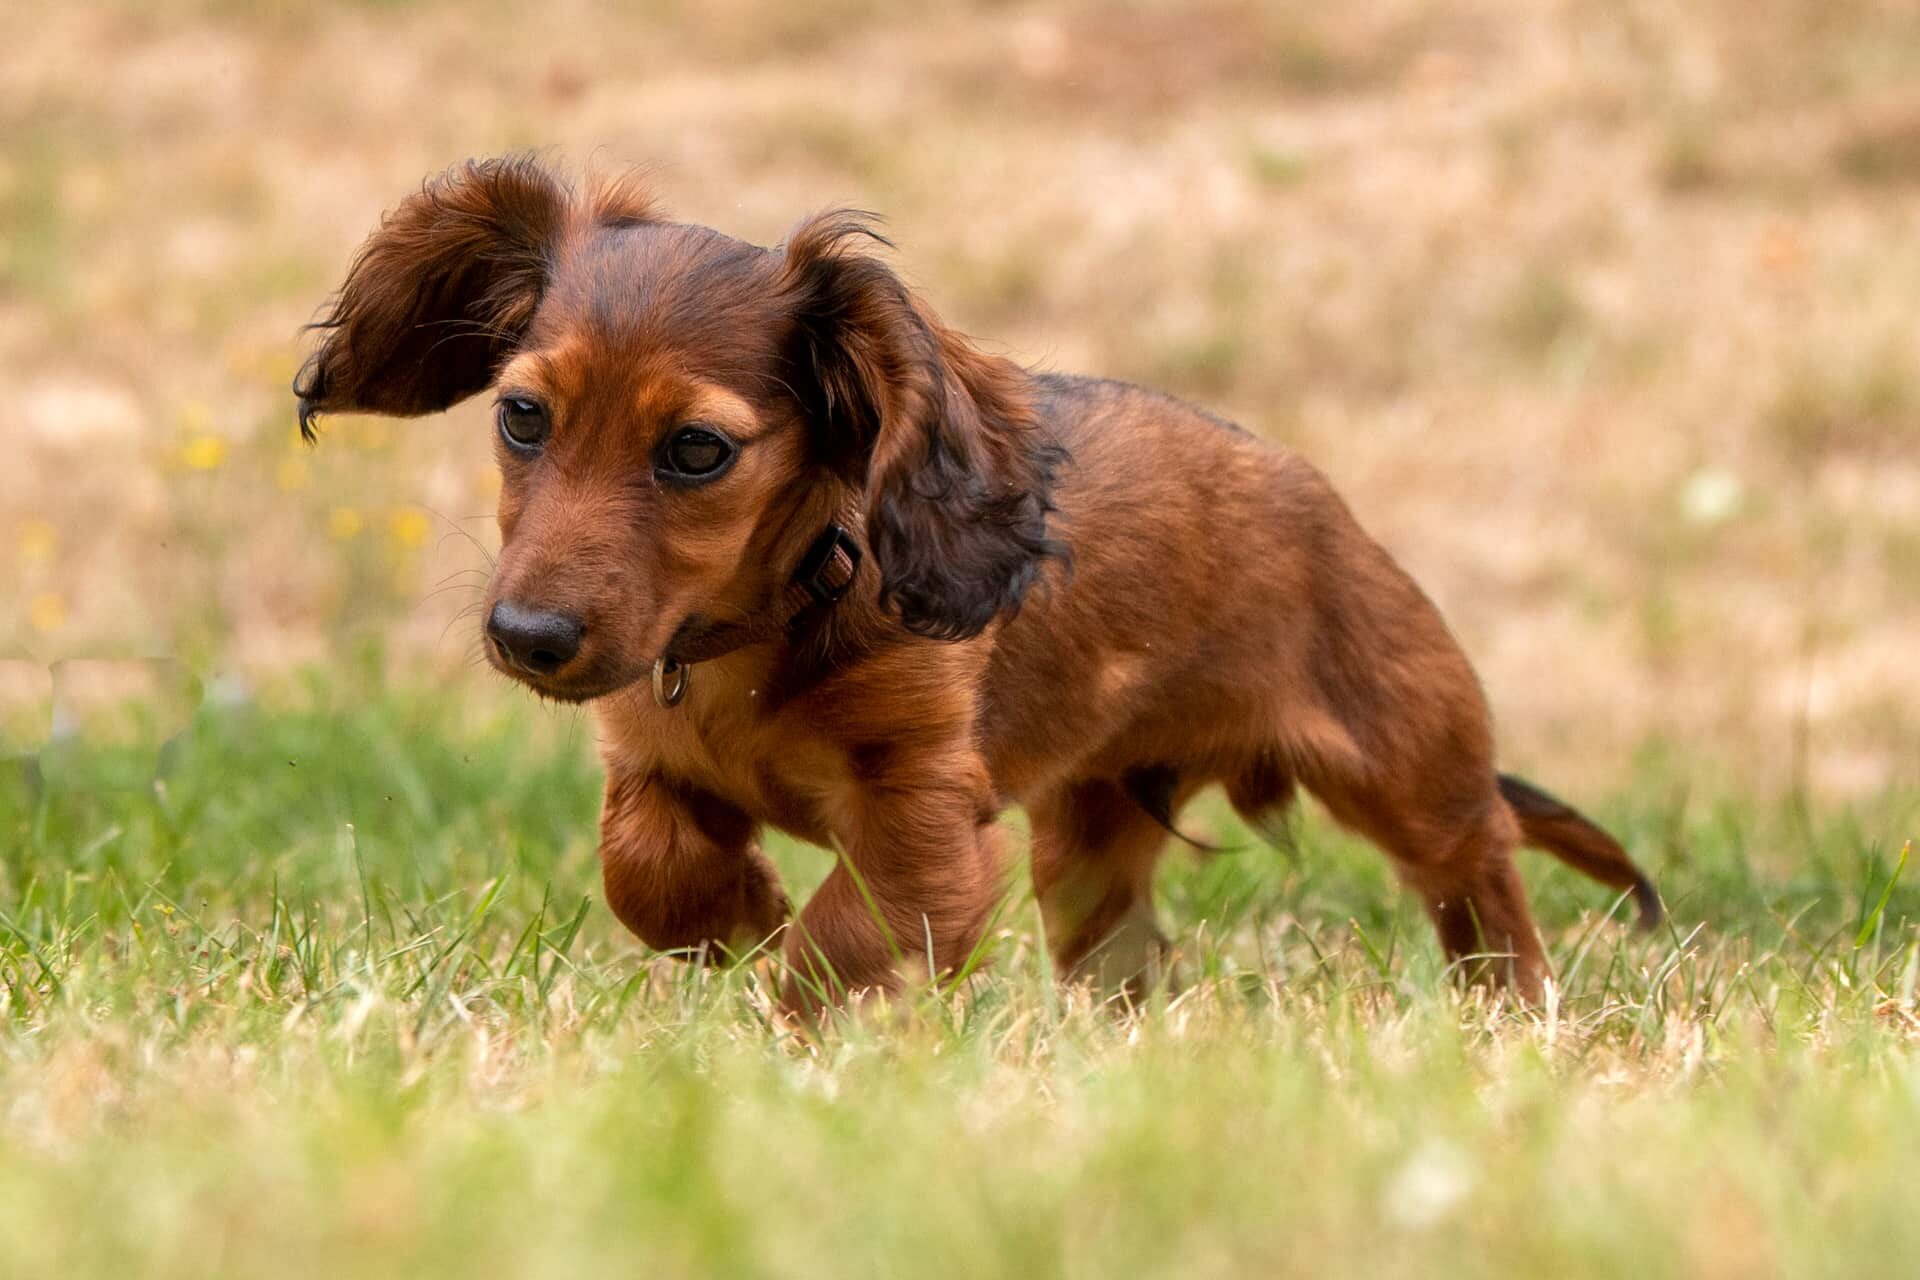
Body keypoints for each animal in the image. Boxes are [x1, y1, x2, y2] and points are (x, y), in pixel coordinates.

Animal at [291, 157, 1658, 1013]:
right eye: (521, 416)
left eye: (695, 450)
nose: (527, 635)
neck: (762, 629)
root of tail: (1319, 496)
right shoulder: (653, 757)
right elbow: (646, 866)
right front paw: (735, 911)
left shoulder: (927, 821)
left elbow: (843, 946)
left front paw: (793, 1031)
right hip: (1091, 843)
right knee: (1125, 954)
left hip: (1407, 755)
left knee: (1478, 864)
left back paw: (1512, 1011)